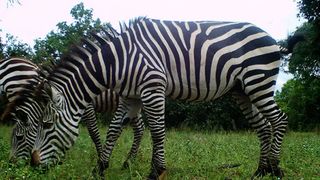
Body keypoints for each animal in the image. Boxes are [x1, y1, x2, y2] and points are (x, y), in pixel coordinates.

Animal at [0, 57, 144, 166]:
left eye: (19, 137)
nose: (11, 164)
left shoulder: (86, 106)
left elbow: (93, 132)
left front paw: (99, 158)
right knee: (139, 128)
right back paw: (129, 163)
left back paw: (129, 162)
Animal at [26, 18, 302, 179]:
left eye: (46, 125)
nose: (33, 165)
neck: (117, 62)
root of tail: (273, 40)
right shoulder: (129, 96)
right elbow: (114, 131)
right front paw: (100, 168)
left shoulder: (152, 87)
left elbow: (157, 131)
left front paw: (156, 171)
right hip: (243, 90)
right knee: (263, 127)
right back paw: (260, 171)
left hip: (258, 82)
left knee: (280, 120)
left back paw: (275, 168)